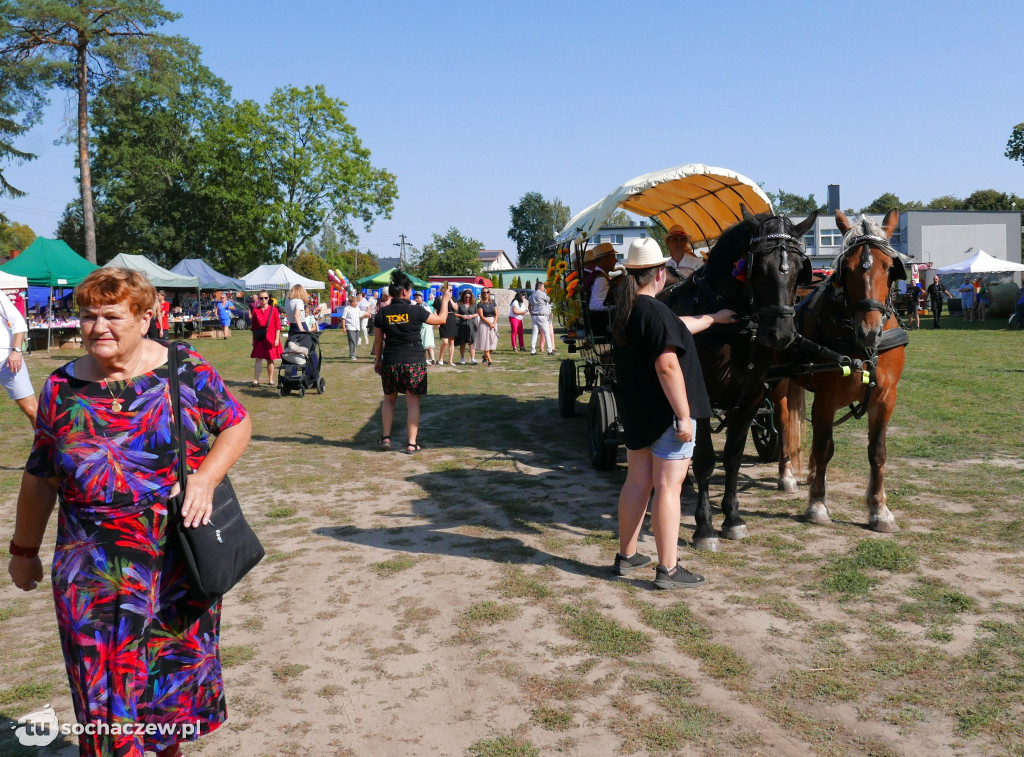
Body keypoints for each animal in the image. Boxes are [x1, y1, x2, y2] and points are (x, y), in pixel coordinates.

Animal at [659, 206, 819, 549]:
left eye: (801, 269)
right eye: (758, 267)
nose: (781, 334)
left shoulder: (751, 398)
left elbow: (732, 457)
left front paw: (732, 518)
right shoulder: (698, 398)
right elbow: (705, 460)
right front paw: (705, 528)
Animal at [770, 208, 909, 532]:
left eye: (889, 267)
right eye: (847, 267)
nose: (869, 331)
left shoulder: (886, 398)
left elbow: (877, 452)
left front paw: (879, 510)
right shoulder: (826, 399)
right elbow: (824, 447)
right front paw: (817, 504)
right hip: (778, 380)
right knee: (783, 422)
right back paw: (786, 475)